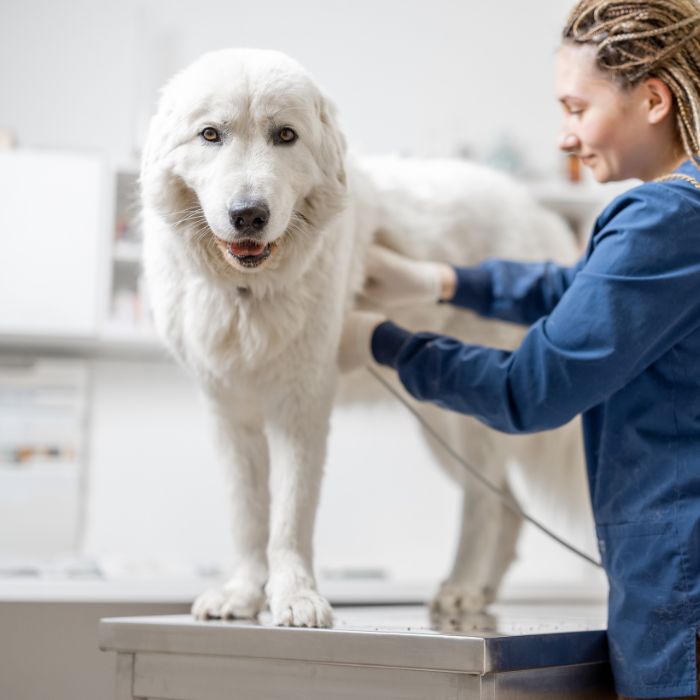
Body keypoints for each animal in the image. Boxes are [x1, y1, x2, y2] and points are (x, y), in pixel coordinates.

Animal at [142, 49, 592, 628]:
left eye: (285, 135)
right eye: (210, 134)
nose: (249, 215)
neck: (246, 294)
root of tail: (543, 216)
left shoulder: (301, 410)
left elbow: (290, 519)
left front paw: (295, 597)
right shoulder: (228, 413)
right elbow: (247, 517)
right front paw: (241, 594)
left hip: (470, 418)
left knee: (484, 504)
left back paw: (462, 588)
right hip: (443, 426)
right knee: (506, 504)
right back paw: (479, 590)